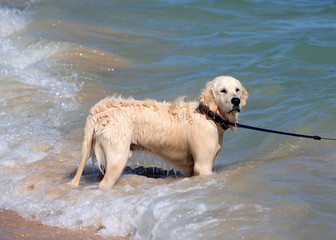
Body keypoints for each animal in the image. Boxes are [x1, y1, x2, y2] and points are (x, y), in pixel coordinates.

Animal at [67, 76, 247, 188]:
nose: (236, 100)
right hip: (117, 156)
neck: (209, 115)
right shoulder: (203, 166)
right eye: (223, 90)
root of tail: (98, 112)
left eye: (237, 89)